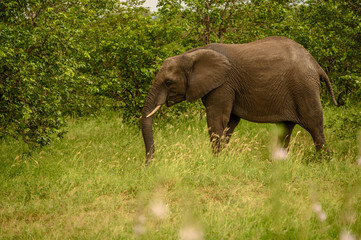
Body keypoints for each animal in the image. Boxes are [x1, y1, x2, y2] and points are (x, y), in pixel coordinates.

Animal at [140, 36, 338, 164]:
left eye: (168, 82)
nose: (149, 163)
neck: (190, 55)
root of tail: (316, 64)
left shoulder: (223, 84)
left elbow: (217, 119)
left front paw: (216, 162)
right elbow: (230, 122)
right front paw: (223, 158)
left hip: (304, 87)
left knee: (314, 125)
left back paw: (323, 162)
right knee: (285, 128)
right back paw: (280, 163)